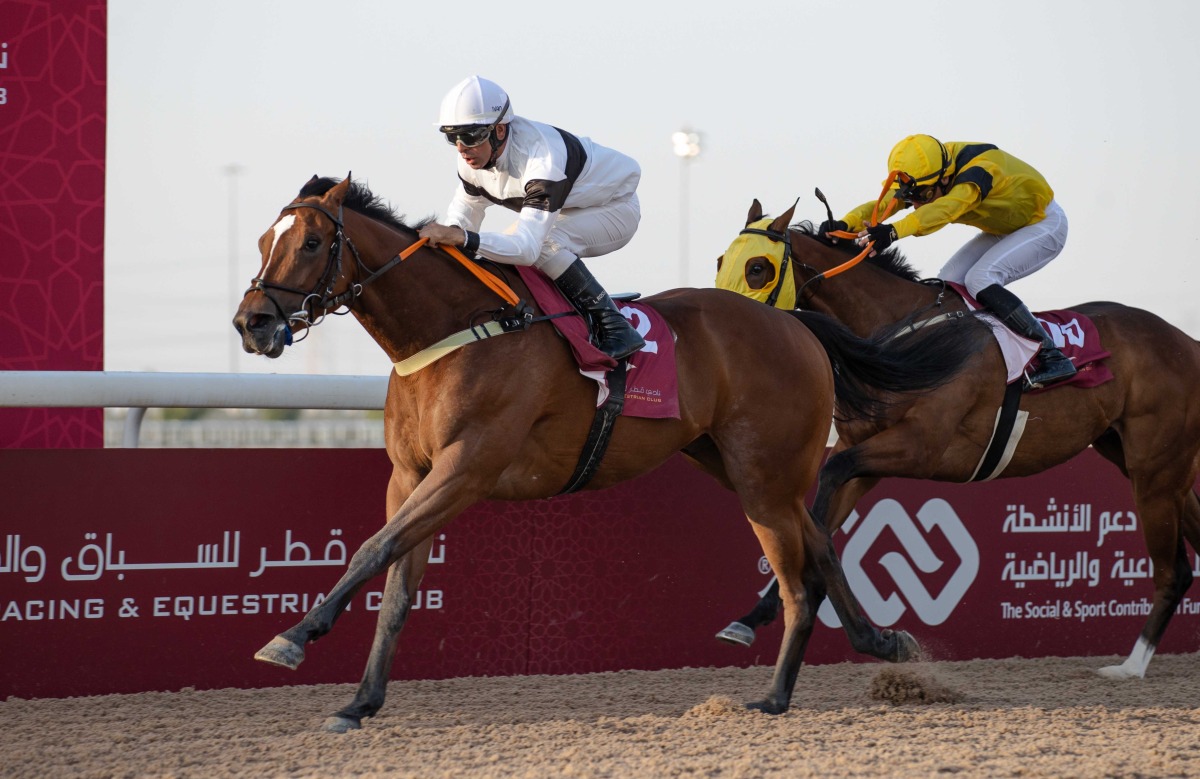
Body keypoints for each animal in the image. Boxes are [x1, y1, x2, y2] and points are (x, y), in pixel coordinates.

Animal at [231, 176, 984, 729]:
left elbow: (370, 550)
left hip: (764, 473)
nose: (252, 322)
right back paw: (877, 642)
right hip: (739, 467)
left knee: (800, 577)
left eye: (311, 242)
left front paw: (291, 637)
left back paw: (773, 696)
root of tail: (795, 321)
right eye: (264, 240)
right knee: (821, 540)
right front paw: (360, 701)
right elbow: (395, 583)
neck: (454, 331)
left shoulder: (467, 466)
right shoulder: (410, 474)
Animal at [715, 198, 1200, 676]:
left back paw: (1130, 666)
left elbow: (829, 480)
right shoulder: (865, 454)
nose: (733, 318)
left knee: (1173, 570)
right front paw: (749, 620)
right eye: (722, 261)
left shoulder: (921, 447)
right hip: (1147, 464)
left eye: (758, 267)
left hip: (1155, 474)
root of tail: (1187, 342)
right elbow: (821, 515)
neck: (902, 338)